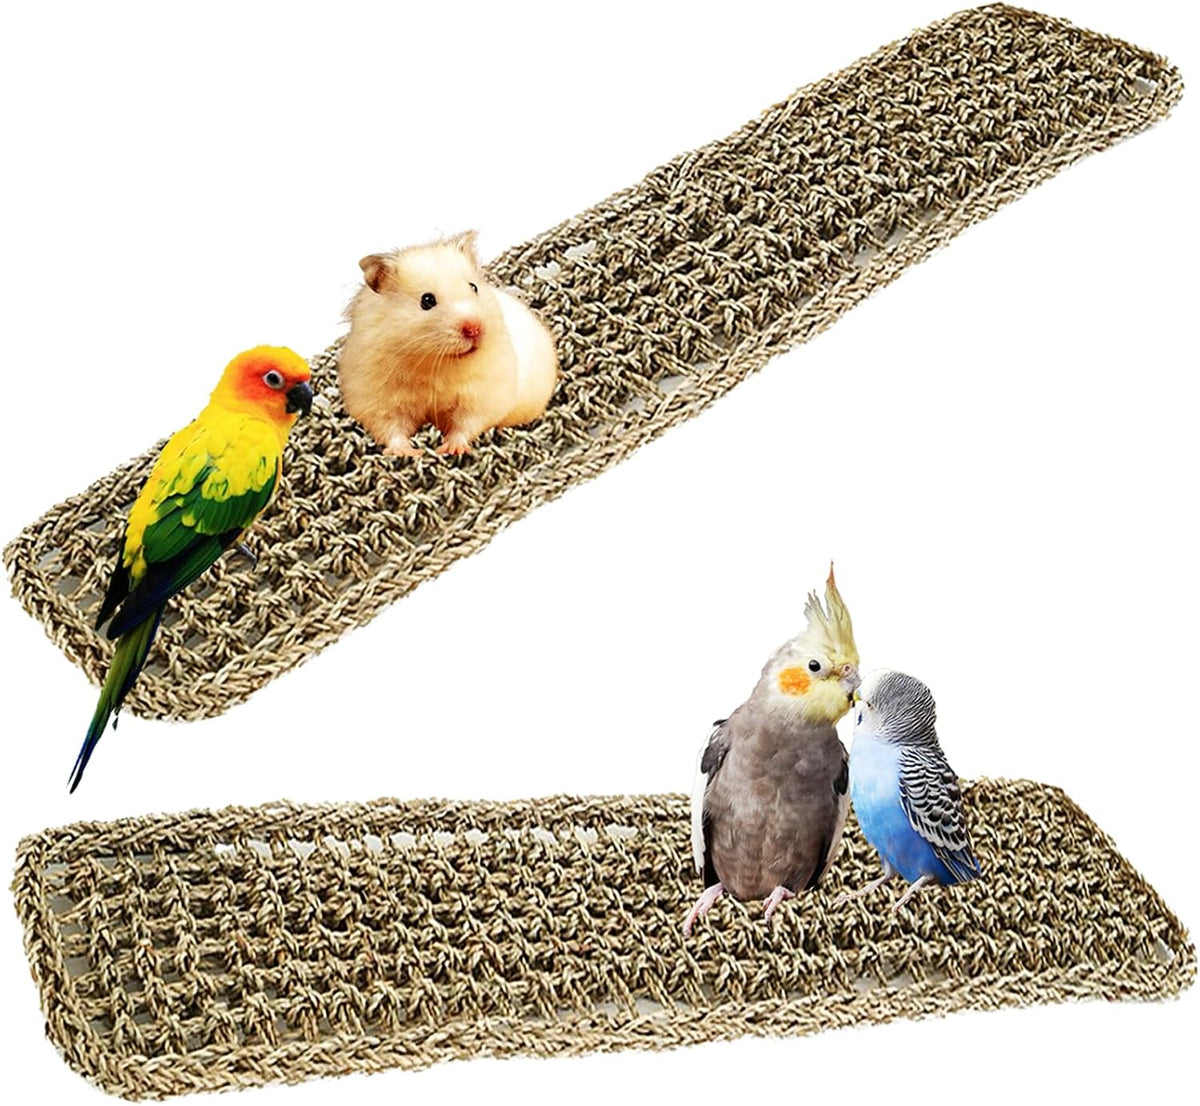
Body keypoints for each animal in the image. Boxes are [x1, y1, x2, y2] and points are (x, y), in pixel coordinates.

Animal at [338, 231, 559, 456]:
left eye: (473, 287)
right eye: (427, 300)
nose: (474, 328)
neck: (435, 362)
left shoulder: (480, 397)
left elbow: (465, 425)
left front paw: (451, 449)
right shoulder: (378, 400)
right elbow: (392, 429)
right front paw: (409, 452)